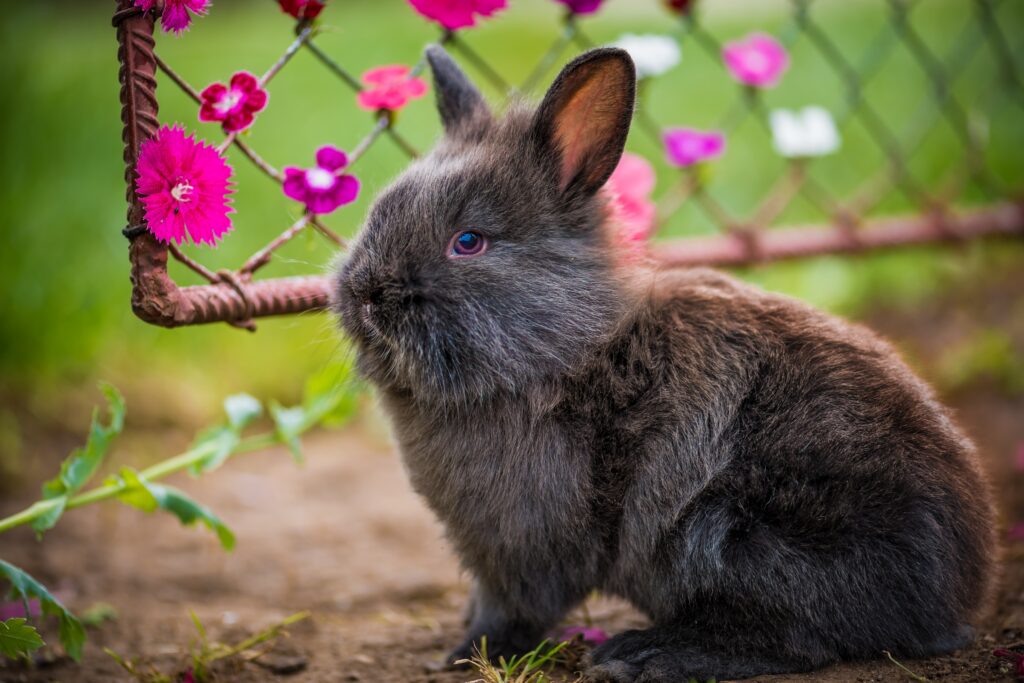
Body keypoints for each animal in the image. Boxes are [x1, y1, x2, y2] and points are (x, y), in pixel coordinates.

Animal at [333, 44, 997, 682]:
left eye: (468, 242)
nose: (367, 293)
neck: (564, 351)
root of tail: (952, 598)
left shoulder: (523, 546)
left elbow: (515, 608)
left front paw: (466, 653)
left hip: (733, 536)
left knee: (798, 638)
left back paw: (642, 655)